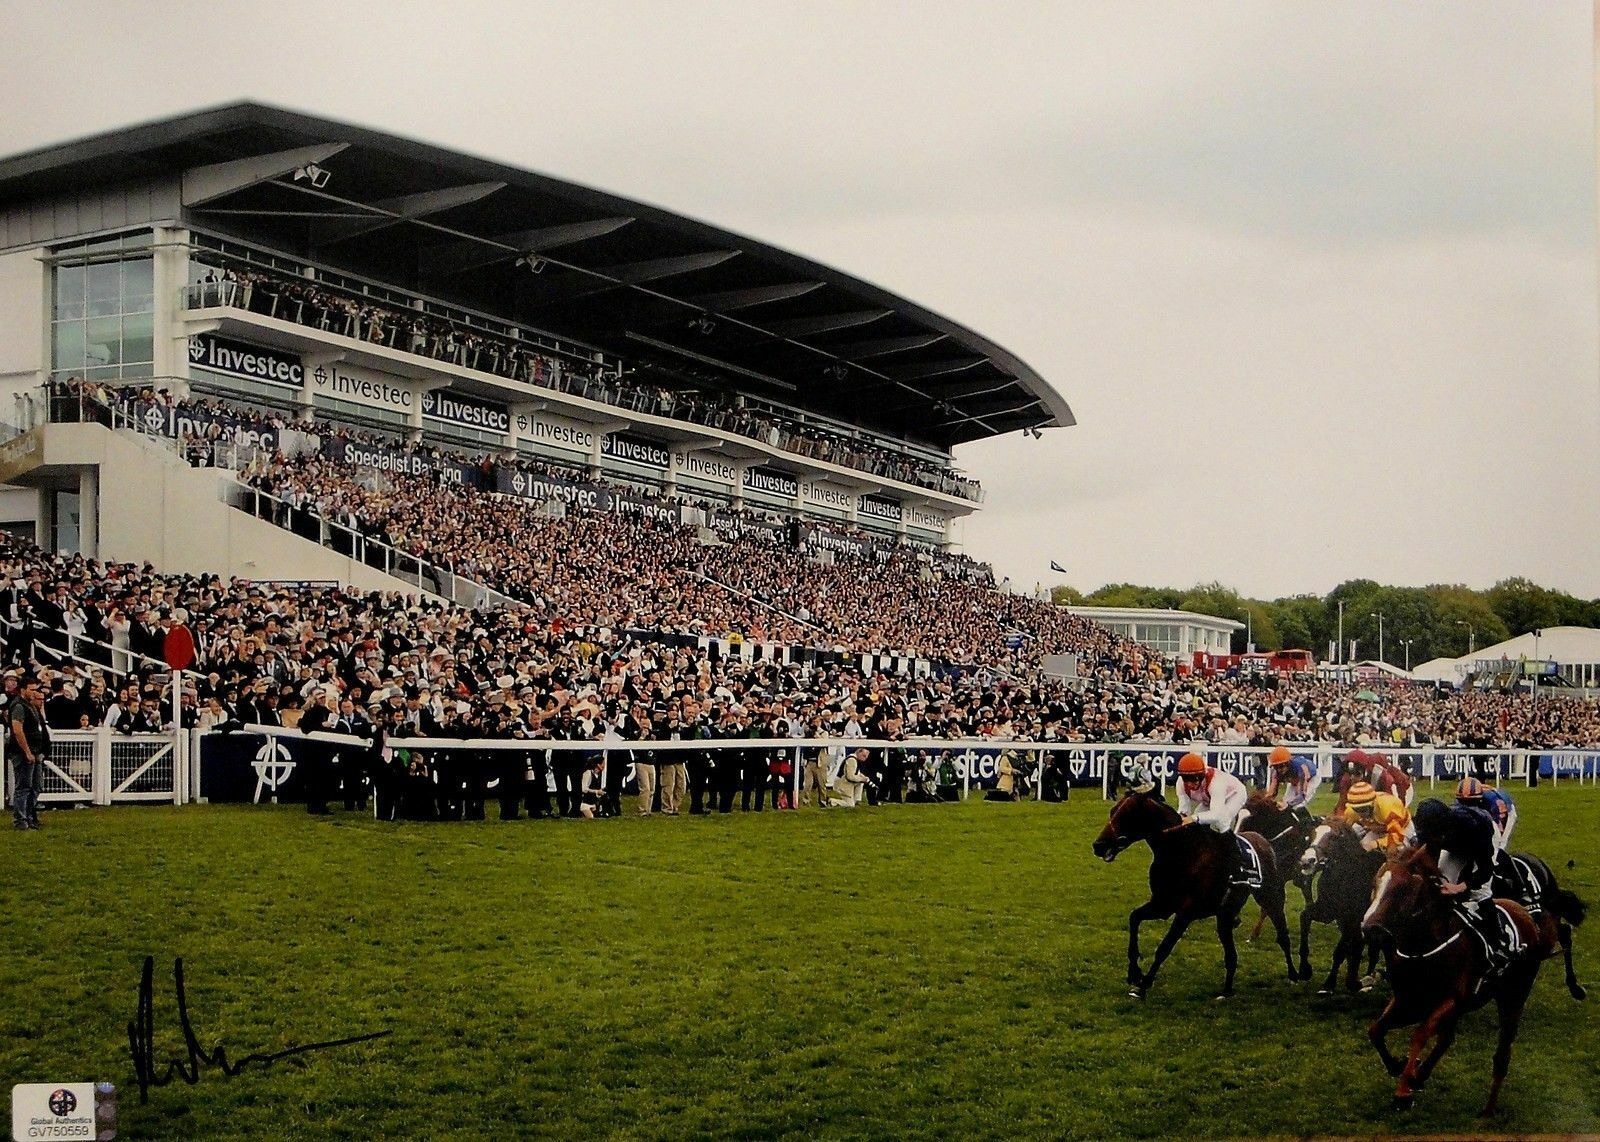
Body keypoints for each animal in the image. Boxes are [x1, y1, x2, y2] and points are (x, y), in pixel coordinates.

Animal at [1088, 786, 1299, 991]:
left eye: (1126, 815)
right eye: (1112, 811)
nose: (1098, 845)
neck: (1181, 852)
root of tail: (1262, 839)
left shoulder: (1186, 912)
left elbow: (1164, 947)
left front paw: (1145, 983)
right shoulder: (1162, 904)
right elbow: (1134, 919)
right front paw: (1134, 972)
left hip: (1271, 898)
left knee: (1283, 935)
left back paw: (1294, 974)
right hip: (1225, 914)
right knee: (1231, 955)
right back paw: (1226, 991)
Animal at [1292, 818, 1382, 985]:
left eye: (1333, 837)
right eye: (1312, 834)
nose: (1307, 861)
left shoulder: (1353, 920)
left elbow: (1340, 951)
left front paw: (1329, 983)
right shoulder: (1328, 912)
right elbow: (1305, 916)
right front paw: (1304, 969)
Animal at [1356, 838, 1580, 1106]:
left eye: (1401, 889)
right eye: (1374, 884)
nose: (1370, 929)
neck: (1425, 946)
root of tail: (1521, 910)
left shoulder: (1452, 999)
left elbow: (1420, 1034)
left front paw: (1403, 1089)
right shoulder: (1408, 1000)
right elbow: (1376, 1030)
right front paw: (1398, 1067)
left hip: (1518, 982)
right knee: (1446, 1038)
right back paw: (1421, 1075)